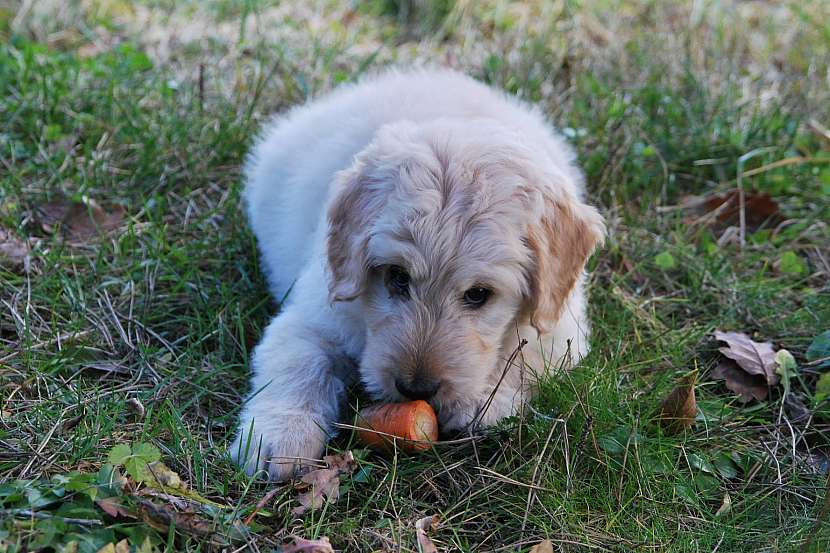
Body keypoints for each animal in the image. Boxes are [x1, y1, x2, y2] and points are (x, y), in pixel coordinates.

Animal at [231, 68, 608, 478]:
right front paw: (278, 436)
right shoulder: (313, 315)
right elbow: (298, 363)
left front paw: (485, 402)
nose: (416, 389)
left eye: (478, 294)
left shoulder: (561, 328)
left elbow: (524, 355)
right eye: (397, 276)